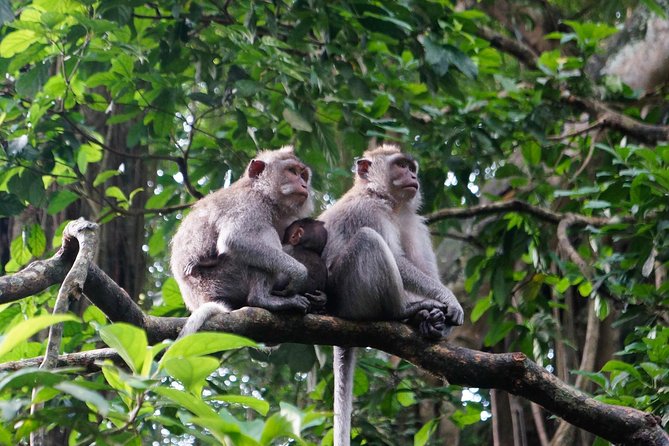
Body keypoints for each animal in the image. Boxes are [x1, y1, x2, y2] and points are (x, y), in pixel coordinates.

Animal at [171, 146, 322, 337]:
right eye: (292, 171)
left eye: (303, 175)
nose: (303, 185)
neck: (262, 193)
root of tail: (198, 300)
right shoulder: (248, 203)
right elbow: (235, 240)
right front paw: (299, 272)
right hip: (220, 281)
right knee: (266, 234)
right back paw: (262, 299)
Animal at [318, 144, 464, 446]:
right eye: (400, 165)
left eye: (411, 167)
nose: (413, 176)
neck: (386, 199)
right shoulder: (368, 210)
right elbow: (396, 259)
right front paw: (447, 299)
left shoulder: (412, 220)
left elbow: (421, 264)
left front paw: (438, 318)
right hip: (347, 294)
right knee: (368, 239)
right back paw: (404, 312)